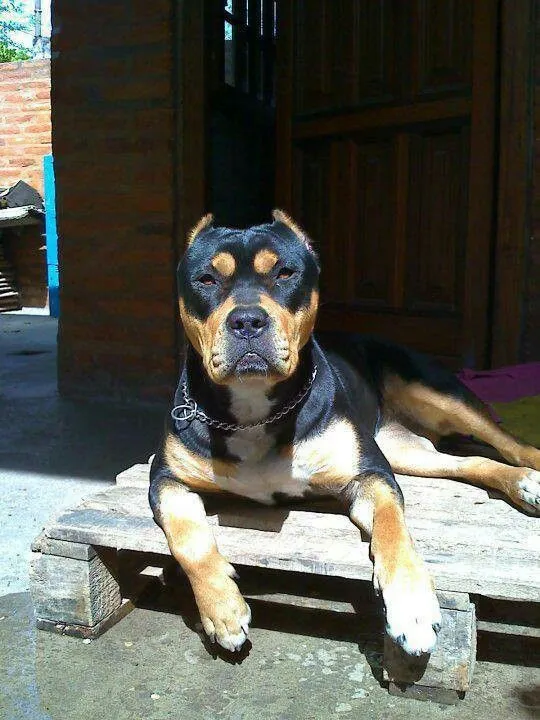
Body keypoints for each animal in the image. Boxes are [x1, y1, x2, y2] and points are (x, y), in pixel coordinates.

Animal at [150, 211, 540, 656]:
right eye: (206, 279)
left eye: (285, 273)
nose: (247, 320)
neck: (253, 412)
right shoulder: (166, 480)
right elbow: (189, 539)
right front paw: (222, 610)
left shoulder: (369, 475)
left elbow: (392, 528)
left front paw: (412, 608)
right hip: (404, 450)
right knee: (467, 462)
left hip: (437, 392)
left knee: (506, 441)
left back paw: (530, 476)